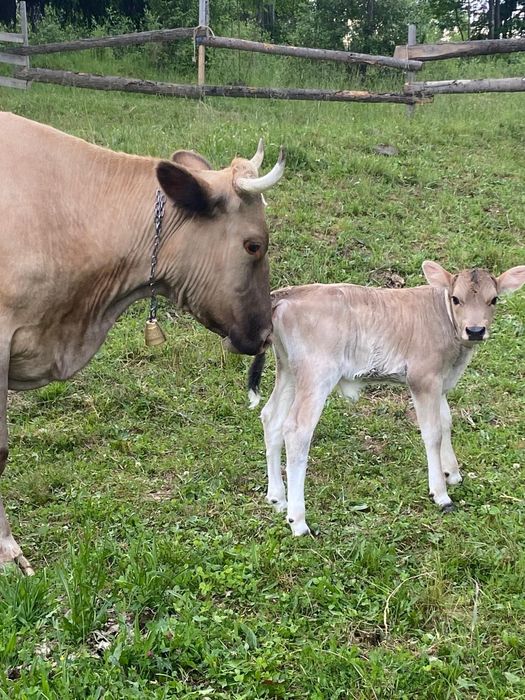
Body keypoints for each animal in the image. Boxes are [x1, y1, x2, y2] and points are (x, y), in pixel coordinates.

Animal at [248, 261, 525, 536]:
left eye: (494, 299)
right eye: (456, 298)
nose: (475, 330)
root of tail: (289, 292)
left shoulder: (441, 383)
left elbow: (446, 422)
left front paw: (453, 473)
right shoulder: (423, 379)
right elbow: (432, 433)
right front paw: (441, 494)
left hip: (289, 370)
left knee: (271, 417)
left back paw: (277, 498)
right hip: (317, 374)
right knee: (297, 431)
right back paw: (298, 520)